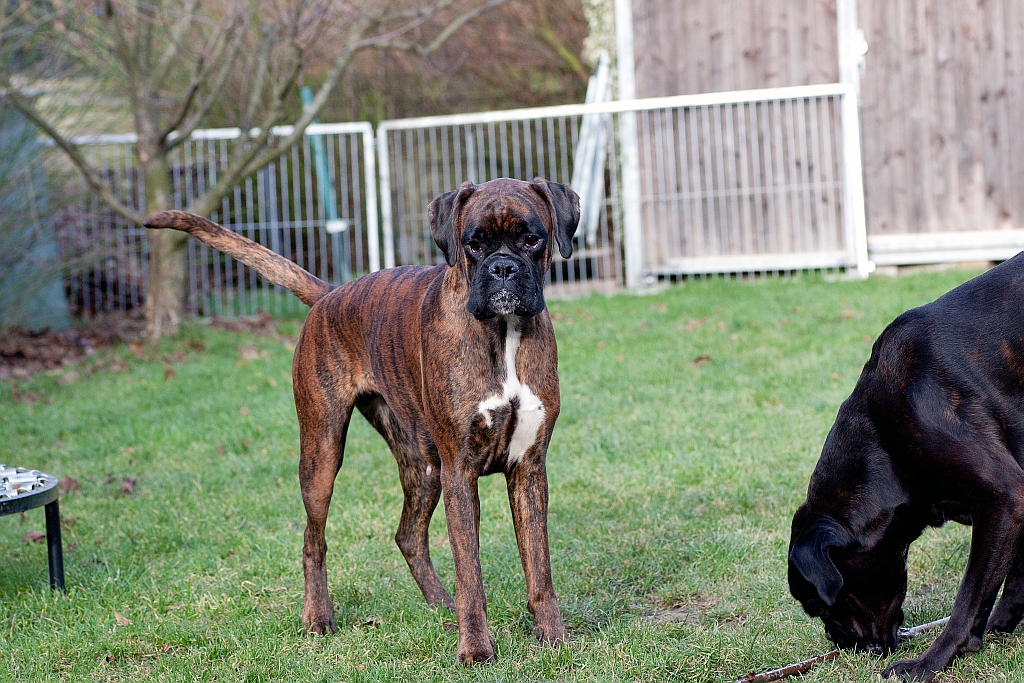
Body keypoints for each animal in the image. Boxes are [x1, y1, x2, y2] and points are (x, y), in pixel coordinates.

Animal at [145, 176, 581, 663]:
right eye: (474, 244)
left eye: (531, 239)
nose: (503, 268)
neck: (503, 335)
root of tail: (329, 294)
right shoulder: (461, 471)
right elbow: (471, 572)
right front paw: (476, 648)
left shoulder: (528, 469)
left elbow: (539, 569)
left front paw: (553, 638)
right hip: (323, 454)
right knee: (313, 540)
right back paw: (319, 618)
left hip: (425, 467)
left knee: (408, 536)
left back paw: (441, 606)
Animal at [790, 253, 1024, 679]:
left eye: (823, 606)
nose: (835, 639)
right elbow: (1007, 579)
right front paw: (991, 630)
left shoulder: (1006, 498)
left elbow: (968, 599)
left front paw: (931, 661)